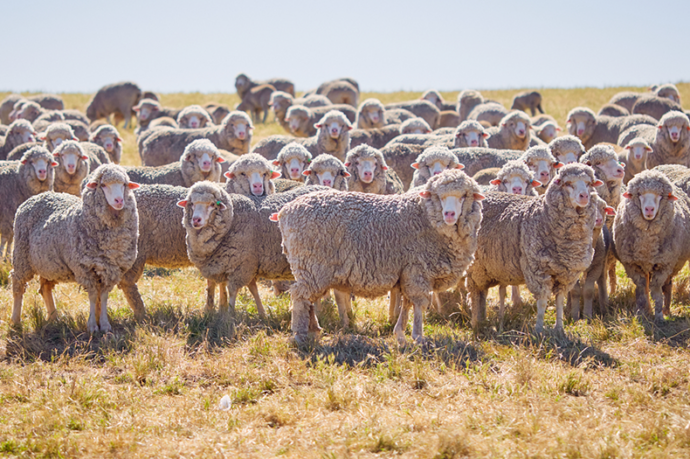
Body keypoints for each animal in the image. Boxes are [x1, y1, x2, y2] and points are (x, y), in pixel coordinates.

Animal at [10, 164, 139, 332]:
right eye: (103, 185)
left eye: (124, 184)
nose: (119, 200)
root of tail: (38, 196)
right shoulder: (85, 268)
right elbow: (93, 295)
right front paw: (92, 326)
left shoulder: (112, 269)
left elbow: (103, 296)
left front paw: (104, 324)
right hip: (21, 256)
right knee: (18, 284)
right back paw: (16, 320)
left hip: (48, 263)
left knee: (45, 288)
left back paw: (53, 318)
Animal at [176, 181, 324, 318]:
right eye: (192, 203)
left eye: (212, 204)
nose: (196, 220)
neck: (232, 219)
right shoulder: (246, 263)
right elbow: (253, 289)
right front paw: (262, 313)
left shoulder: (241, 266)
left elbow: (232, 291)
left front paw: (230, 315)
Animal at [274, 171, 484, 344]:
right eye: (439, 196)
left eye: (464, 196)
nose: (449, 214)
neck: (425, 216)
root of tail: (285, 211)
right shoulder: (417, 270)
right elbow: (419, 304)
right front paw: (418, 337)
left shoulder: (407, 272)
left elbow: (406, 304)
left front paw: (400, 334)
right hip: (312, 265)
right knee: (300, 296)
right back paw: (300, 335)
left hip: (310, 269)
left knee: (307, 298)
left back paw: (313, 331)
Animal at [462, 164, 600, 334]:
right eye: (568, 183)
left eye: (589, 183)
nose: (584, 196)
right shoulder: (537, 270)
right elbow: (542, 302)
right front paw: (539, 329)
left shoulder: (566, 274)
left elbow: (559, 300)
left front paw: (559, 328)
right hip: (476, 267)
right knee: (476, 294)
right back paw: (477, 323)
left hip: (492, 268)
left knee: (484, 293)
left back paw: (484, 321)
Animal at [612, 170, 688, 324]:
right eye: (639, 194)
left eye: (660, 195)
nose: (649, 209)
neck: (647, 246)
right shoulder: (633, 265)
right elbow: (642, 288)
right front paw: (641, 313)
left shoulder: (663, 265)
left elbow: (657, 290)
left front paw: (659, 316)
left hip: (671, 264)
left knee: (667, 285)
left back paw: (666, 310)